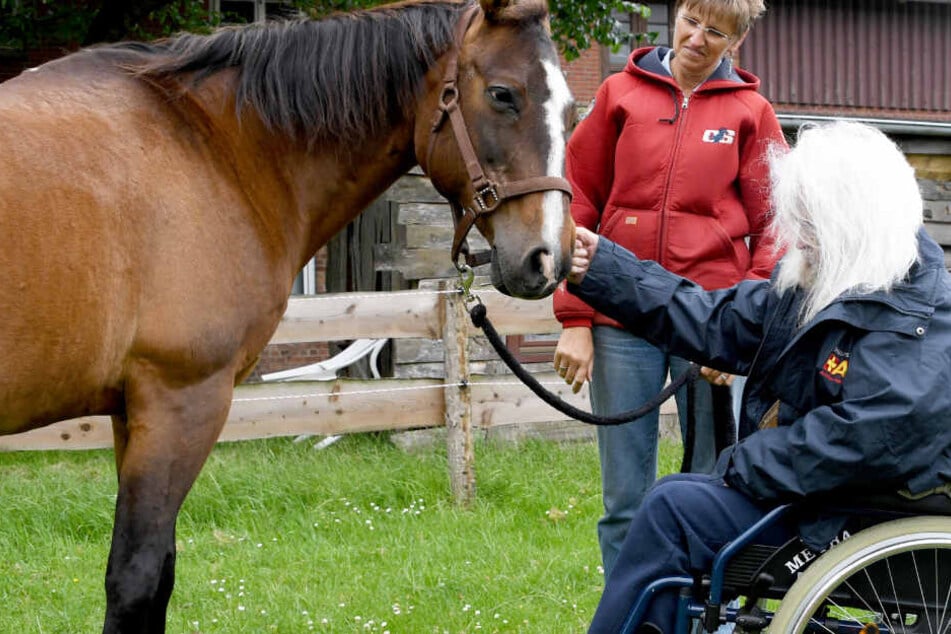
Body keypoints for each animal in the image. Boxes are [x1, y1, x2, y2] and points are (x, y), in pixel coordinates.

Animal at [0, 0, 572, 628]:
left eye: (571, 110)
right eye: (503, 94)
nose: (548, 257)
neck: (211, 148)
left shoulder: (135, 412)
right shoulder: (180, 402)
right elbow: (138, 578)